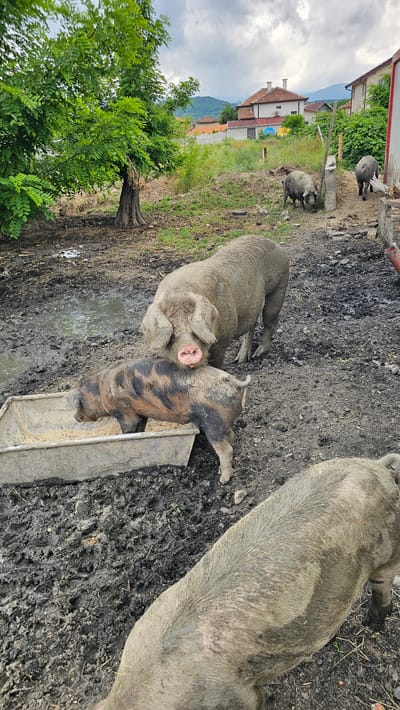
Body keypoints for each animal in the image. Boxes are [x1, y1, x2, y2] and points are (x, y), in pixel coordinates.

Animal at [74, 357, 250, 483]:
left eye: (80, 401)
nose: (75, 417)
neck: (101, 389)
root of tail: (236, 382)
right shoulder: (140, 413)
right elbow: (140, 427)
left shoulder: (125, 412)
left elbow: (128, 429)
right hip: (222, 422)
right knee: (231, 437)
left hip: (213, 422)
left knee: (226, 449)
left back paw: (223, 480)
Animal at [140, 234, 289, 369]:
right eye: (171, 335)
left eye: (196, 332)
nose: (188, 348)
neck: (179, 293)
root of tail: (275, 244)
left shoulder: (222, 340)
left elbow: (216, 363)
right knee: (251, 326)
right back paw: (240, 360)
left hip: (279, 286)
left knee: (270, 320)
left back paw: (258, 354)